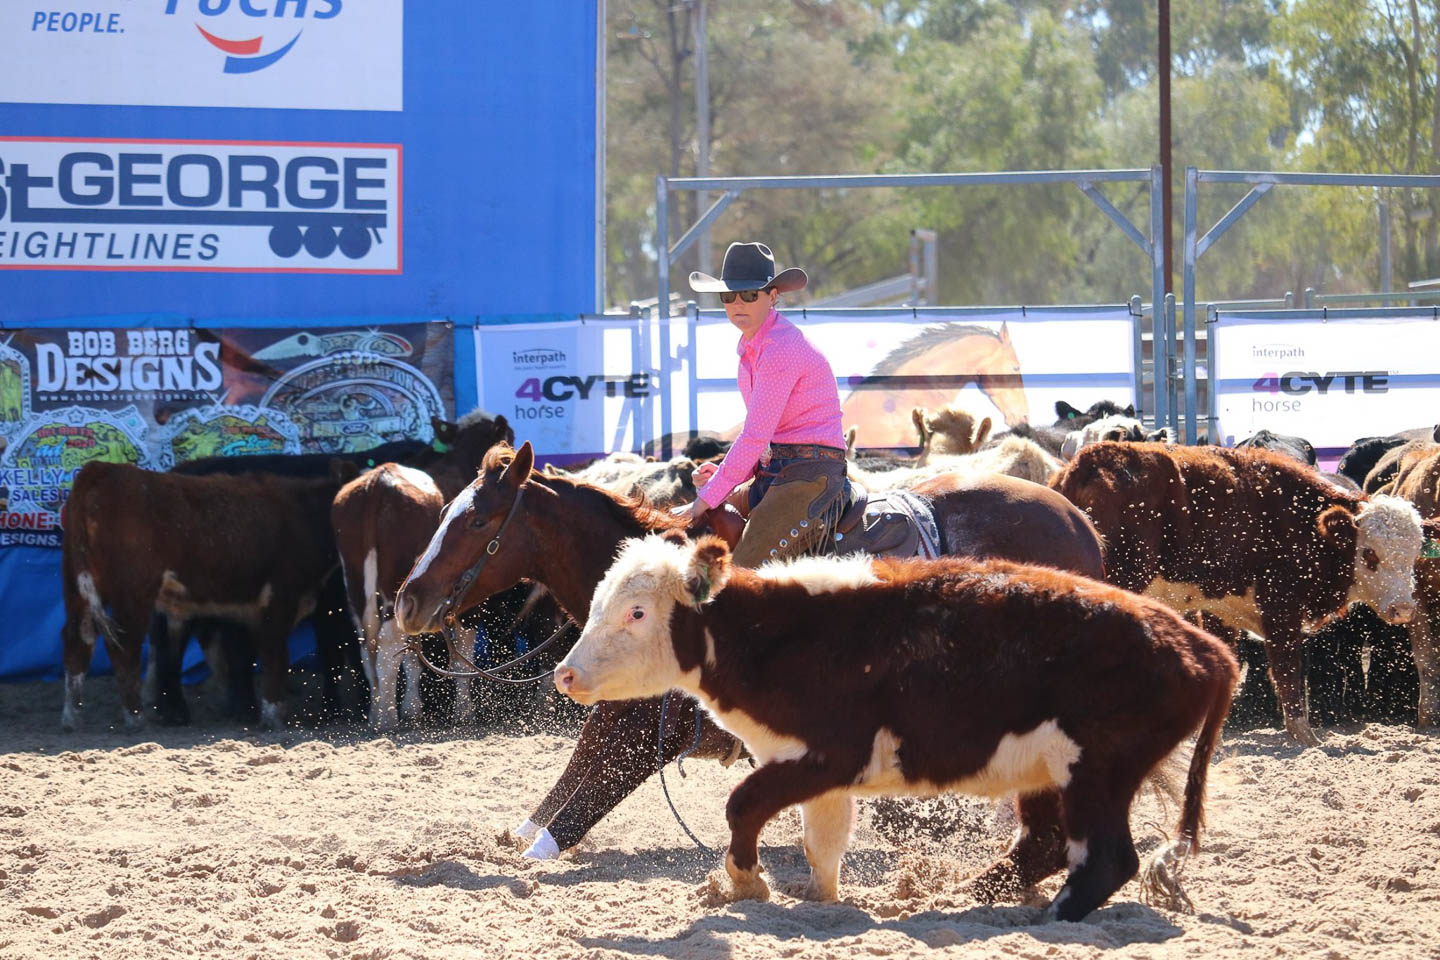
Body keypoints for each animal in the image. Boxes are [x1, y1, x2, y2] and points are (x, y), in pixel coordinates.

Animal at [59, 460, 351, 731]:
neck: (303, 514)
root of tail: (102, 469)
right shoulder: (279, 601)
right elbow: (274, 658)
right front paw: (274, 717)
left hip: (76, 587)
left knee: (78, 638)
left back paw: (73, 717)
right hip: (133, 594)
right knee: (124, 645)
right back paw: (136, 718)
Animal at [394, 440, 1100, 857]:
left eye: (476, 520)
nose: (405, 602)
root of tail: (1077, 519)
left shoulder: (642, 744)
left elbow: (556, 833)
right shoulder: (614, 726)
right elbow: (548, 805)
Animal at [552, 538, 1238, 921]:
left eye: (637, 613)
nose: (565, 673)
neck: (780, 635)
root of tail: (1201, 645)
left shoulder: (831, 756)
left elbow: (743, 805)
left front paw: (749, 882)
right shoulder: (813, 771)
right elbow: (821, 847)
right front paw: (819, 900)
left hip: (1097, 769)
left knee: (1107, 858)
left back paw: (1051, 915)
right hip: (1048, 772)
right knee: (1042, 844)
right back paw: (959, 896)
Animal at [1054, 440, 1422, 748]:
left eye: (1414, 554)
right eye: (1370, 553)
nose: (1403, 608)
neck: (1299, 523)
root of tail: (1090, 463)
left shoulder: (1221, 609)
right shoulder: (1281, 609)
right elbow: (1288, 672)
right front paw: (1304, 735)